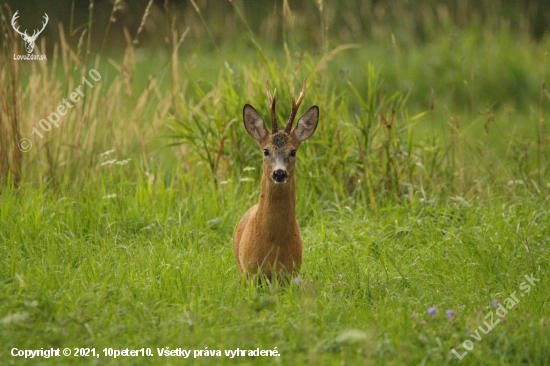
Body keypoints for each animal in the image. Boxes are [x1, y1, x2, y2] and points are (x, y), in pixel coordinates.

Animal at [233, 78, 320, 282]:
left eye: (293, 151)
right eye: (266, 150)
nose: (279, 173)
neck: (273, 242)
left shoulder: (291, 272)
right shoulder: (251, 272)